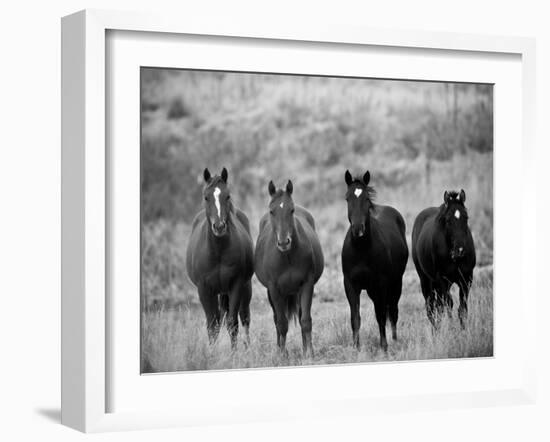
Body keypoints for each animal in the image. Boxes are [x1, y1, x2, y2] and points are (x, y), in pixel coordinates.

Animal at [185, 168, 254, 348]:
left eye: (227, 196)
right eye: (206, 197)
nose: (219, 226)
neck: (218, 252)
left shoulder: (236, 285)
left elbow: (232, 323)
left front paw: (234, 352)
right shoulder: (204, 289)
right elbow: (212, 325)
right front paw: (212, 352)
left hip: (245, 287)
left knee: (245, 317)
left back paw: (248, 347)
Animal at [256, 180, 326, 356]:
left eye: (291, 210)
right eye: (272, 211)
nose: (283, 242)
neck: (287, 257)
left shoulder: (307, 284)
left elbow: (305, 320)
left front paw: (309, 353)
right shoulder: (274, 289)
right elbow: (282, 323)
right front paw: (282, 355)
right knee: (277, 319)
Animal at [342, 170, 412, 352]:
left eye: (366, 198)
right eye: (347, 198)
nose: (358, 229)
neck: (361, 250)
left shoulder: (380, 284)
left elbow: (381, 316)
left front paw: (384, 346)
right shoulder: (351, 285)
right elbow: (355, 318)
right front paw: (356, 348)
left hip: (395, 283)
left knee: (392, 311)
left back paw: (394, 340)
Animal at [414, 188, 478, 326]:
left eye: (466, 217)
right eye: (448, 220)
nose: (460, 250)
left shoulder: (466, 278)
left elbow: (462, 309)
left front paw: (463, 329)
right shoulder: (442, 280)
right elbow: (448, 304)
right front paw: (452, 327)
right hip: (425, 280)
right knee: (431, 308)